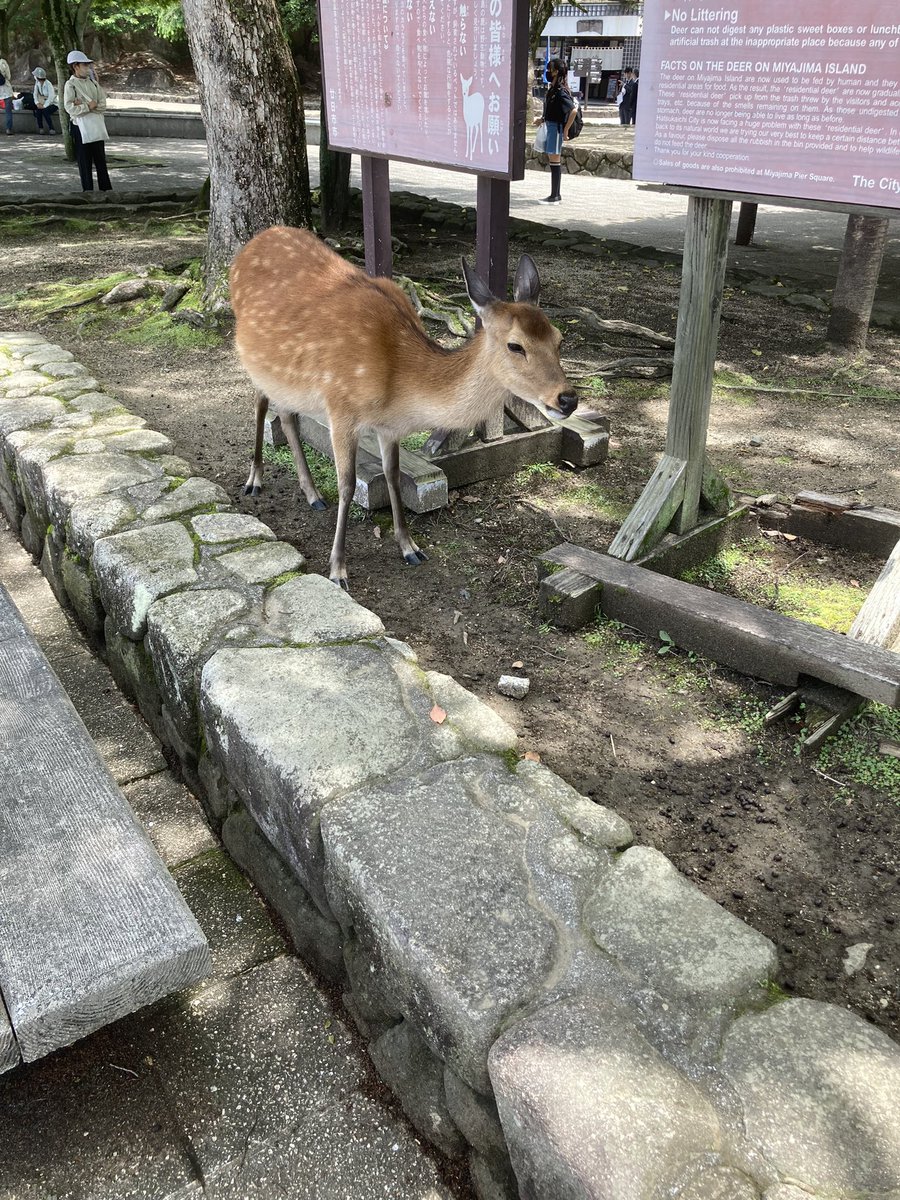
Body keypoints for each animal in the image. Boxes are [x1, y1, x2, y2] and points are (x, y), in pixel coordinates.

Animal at [230, 225, 578, 590]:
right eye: (515, 345)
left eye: (559, 339)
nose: (567, 398)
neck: (398, 388)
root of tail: (256, 240)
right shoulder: (339, 407)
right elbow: (347, 485)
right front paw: (338, 569)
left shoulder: (388, 427)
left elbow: (394, 476)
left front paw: (409, 546)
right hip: (251, 354)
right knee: (260, 402)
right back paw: (254, 480)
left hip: (282, 375)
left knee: (285, 413)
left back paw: (312, 494)